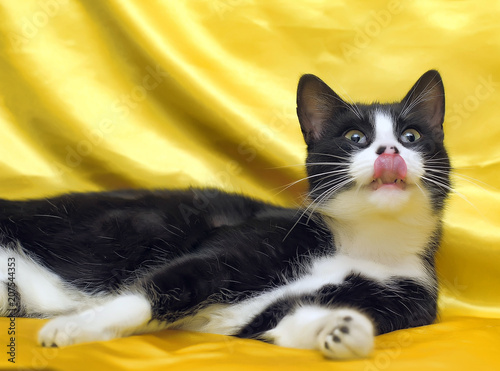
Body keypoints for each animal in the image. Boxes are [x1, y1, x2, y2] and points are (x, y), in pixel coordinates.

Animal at [0, 70, 450, 360]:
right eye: (355, 137)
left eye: (411, 136)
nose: (389, 150)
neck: (364, 242)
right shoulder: (246, 240)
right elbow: (165, 284)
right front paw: (76, 327)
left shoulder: (407, 298)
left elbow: (273, 323)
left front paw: (341, 329)